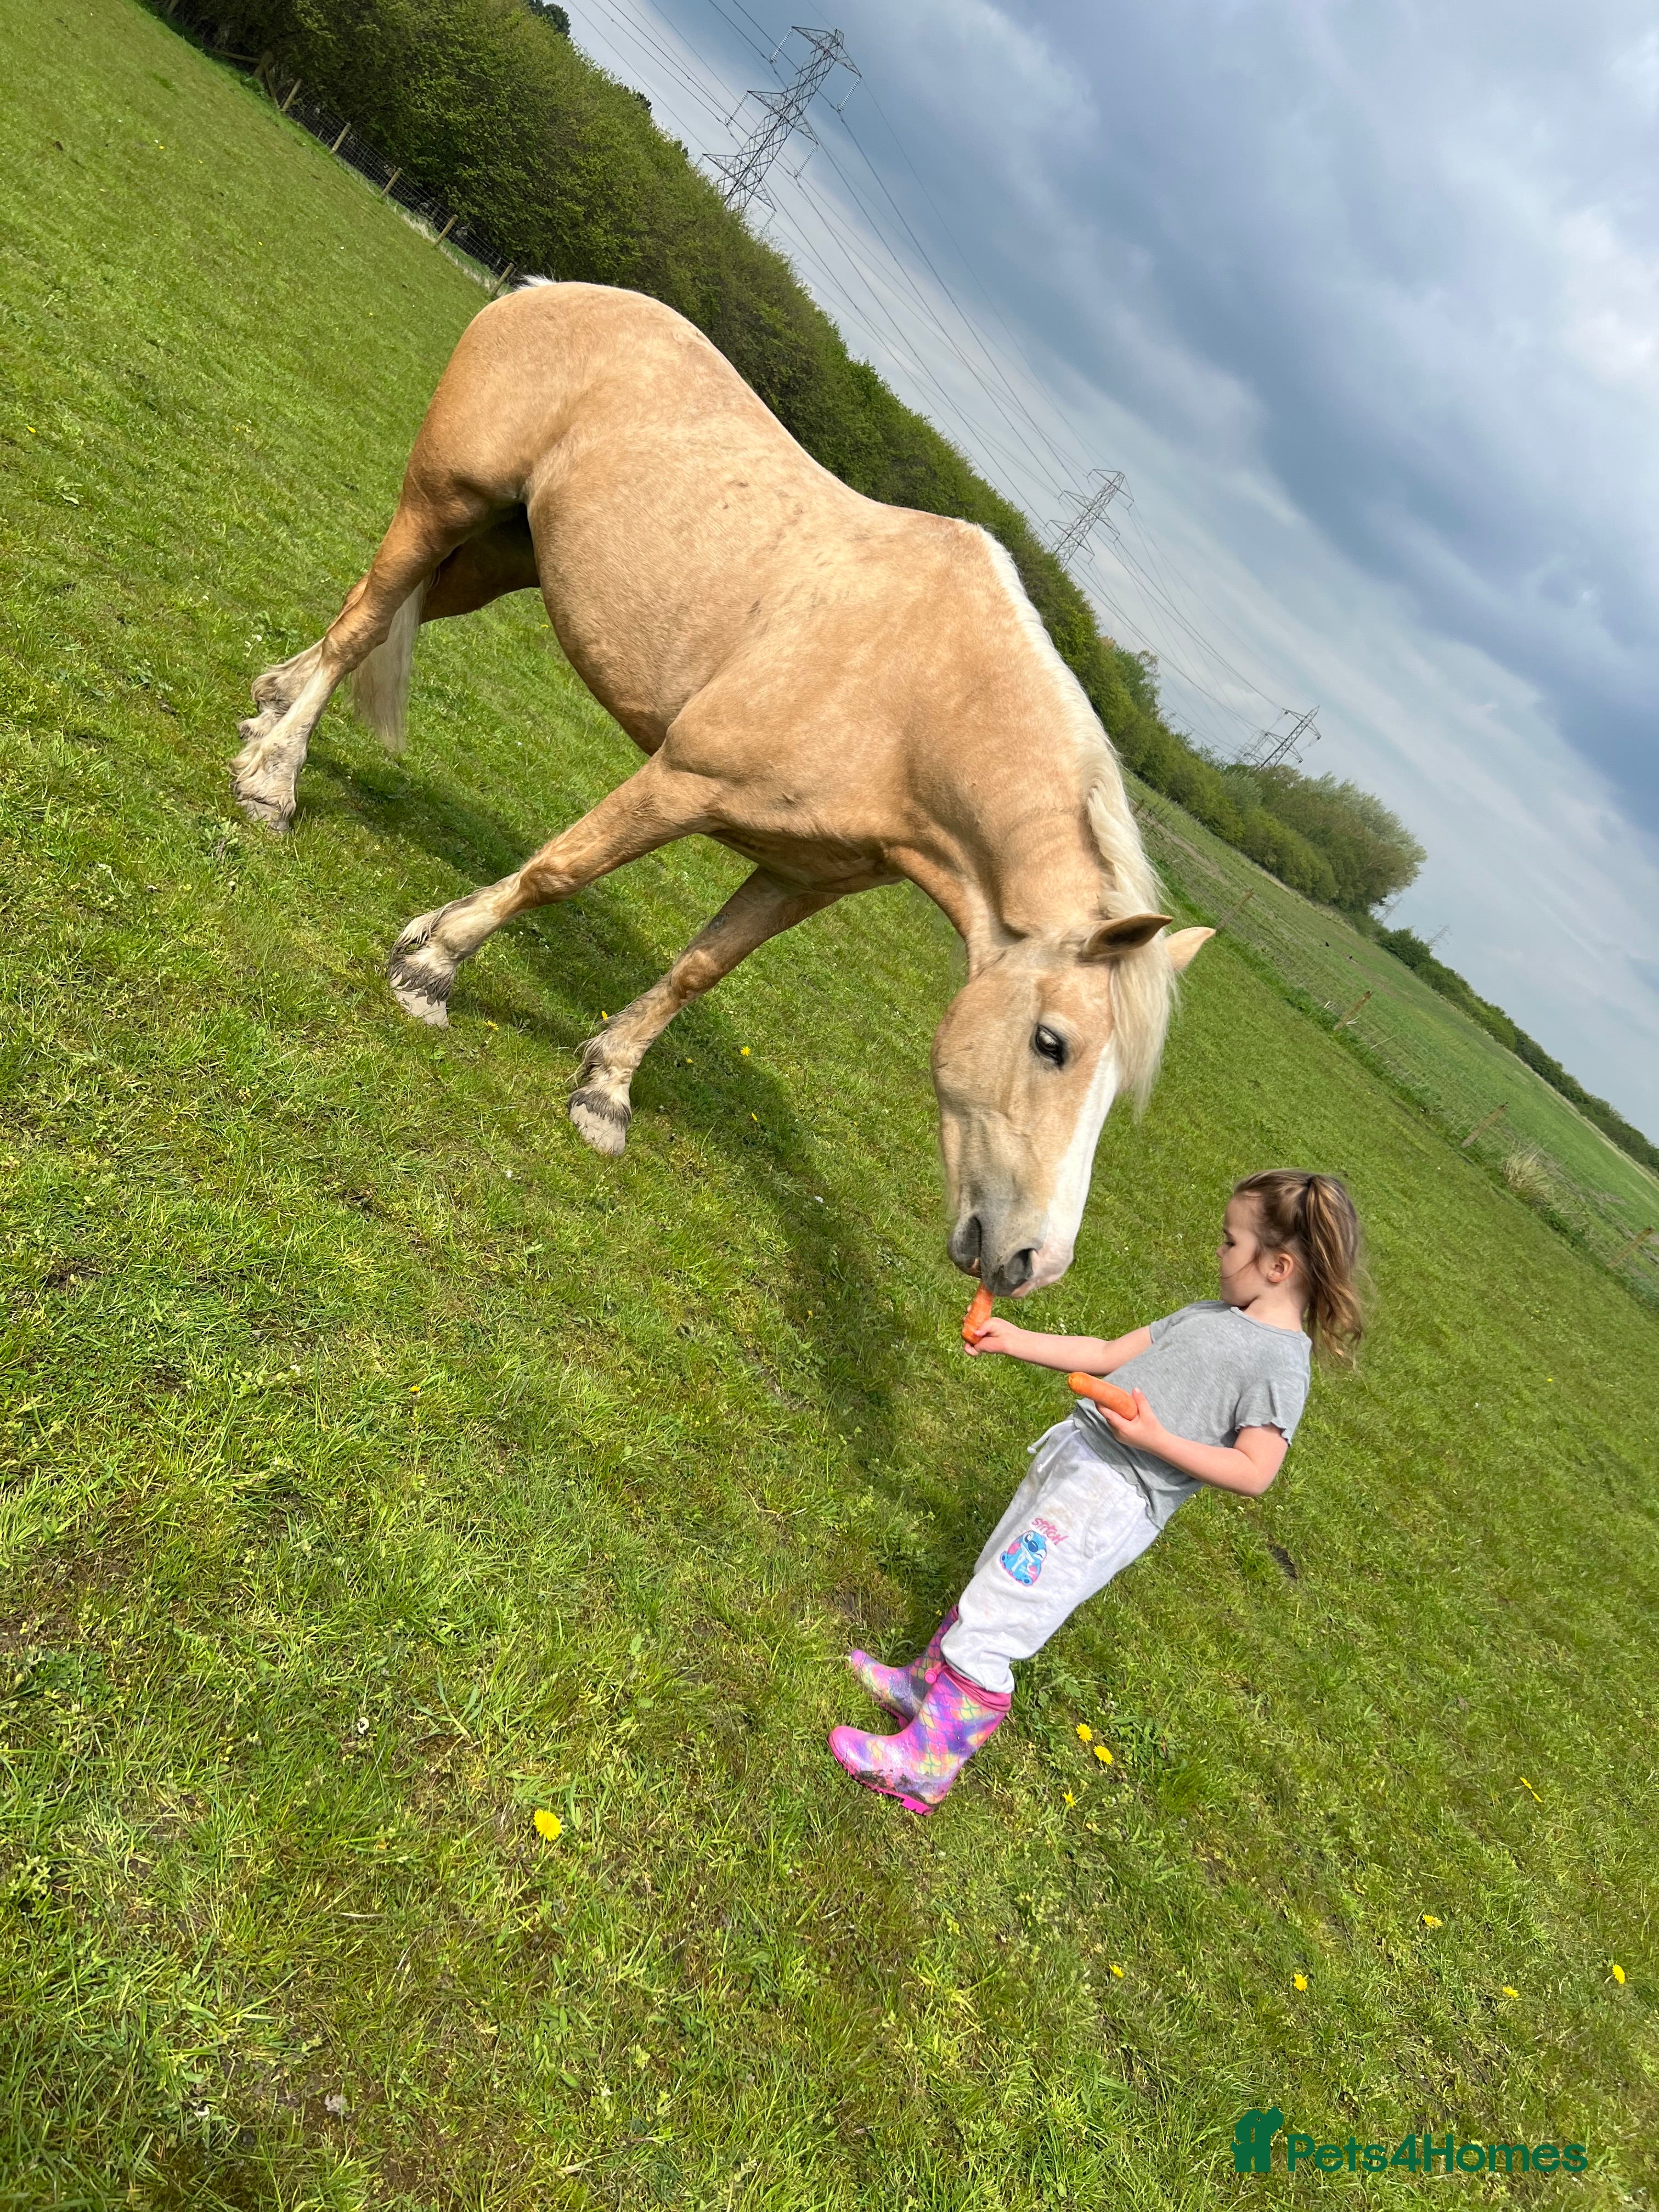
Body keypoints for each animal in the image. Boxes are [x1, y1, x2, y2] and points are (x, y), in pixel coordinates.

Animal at [231, 282, 1210, 1297]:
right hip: (445, 501)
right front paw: (431, 966)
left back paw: (268, 711)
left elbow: (699, 970)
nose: (1031, 1261)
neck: (913, 701)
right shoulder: (680, 782)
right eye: (1051, 1044)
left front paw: (605, 1091)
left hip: (505, 554)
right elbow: (559, 872)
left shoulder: (798, 877)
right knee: (367, 620)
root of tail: (544, 294)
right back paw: (273, 784)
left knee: (367, 617)